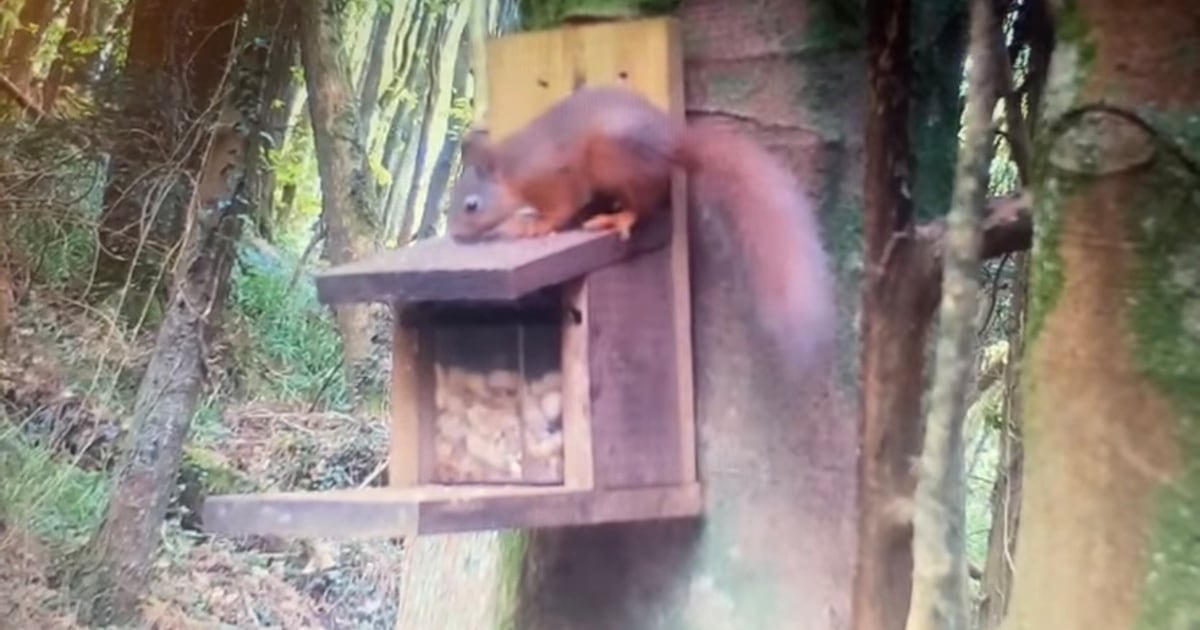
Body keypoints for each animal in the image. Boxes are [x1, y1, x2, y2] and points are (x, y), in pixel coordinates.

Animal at [446, 85, 836, 372]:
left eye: (471, 206)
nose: (455, 235)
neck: (515, 171)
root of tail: (676, 144)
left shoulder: (556, 180)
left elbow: (560, 208)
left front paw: (533, 225)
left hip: (615, 159)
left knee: (645, 203)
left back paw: (617, 217)